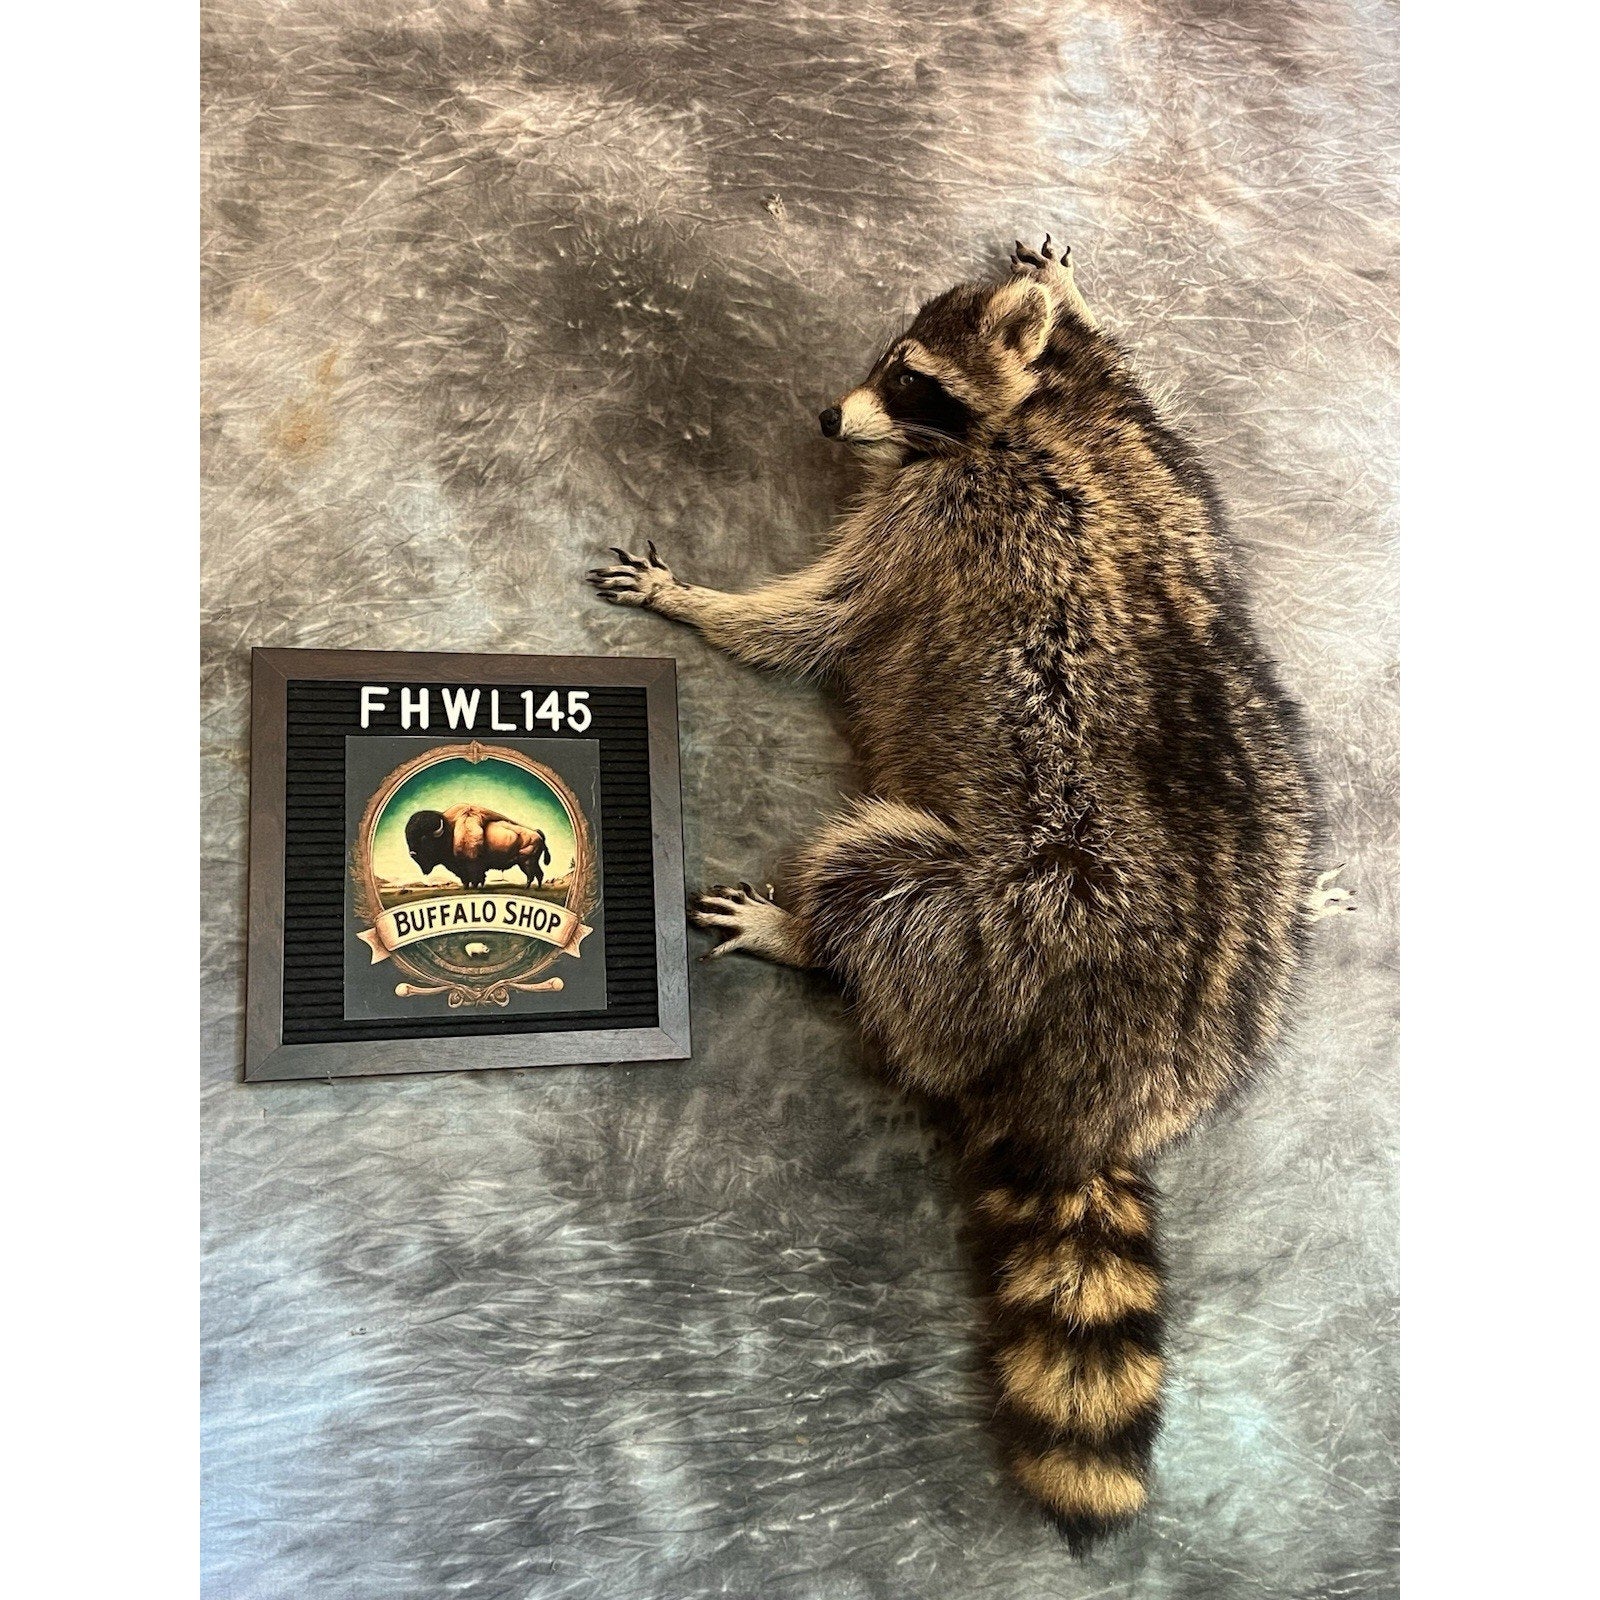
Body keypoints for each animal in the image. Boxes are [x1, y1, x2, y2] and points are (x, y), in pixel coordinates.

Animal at [588, 237, 1353, 1551]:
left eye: (909, 379)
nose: (824, 418)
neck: (1033, 417)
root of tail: (1105, 1091)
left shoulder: (939, 517)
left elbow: (820, 614)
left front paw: (704, 601)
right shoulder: (1150, 439)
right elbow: (1128, 365)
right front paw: (1068, 287)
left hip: (999, 916)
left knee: (879, 879)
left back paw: (809, 930)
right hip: (1273, 840)